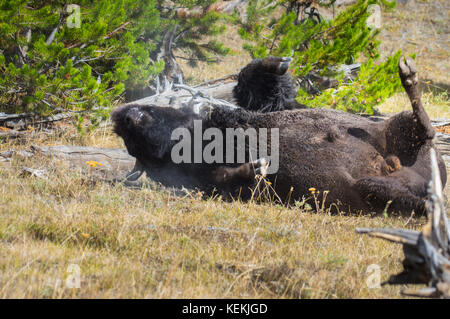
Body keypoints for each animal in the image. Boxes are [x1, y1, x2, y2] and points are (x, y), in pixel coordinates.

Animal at [111, 57, 446, 215]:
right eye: (138, 152)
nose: (124, 116)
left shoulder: (268, 106)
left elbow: (255, 91)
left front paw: (277, 63)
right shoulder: (210, 182)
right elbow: (228, 179)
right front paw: (255, 167)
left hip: (394, 137)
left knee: (421, 125)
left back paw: (408, 73)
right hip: (372, 190)